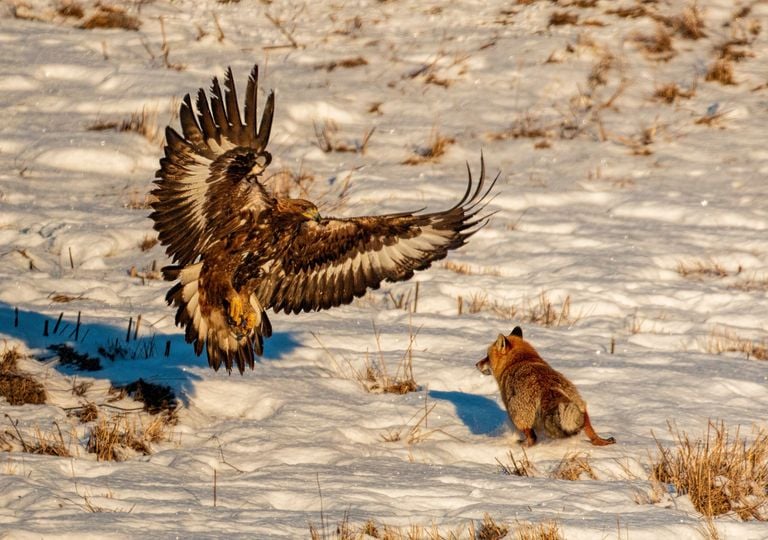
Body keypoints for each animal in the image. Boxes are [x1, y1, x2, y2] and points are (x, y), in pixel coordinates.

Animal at [476, 326, 615, 447]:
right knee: (591, 433)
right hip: (581, 409)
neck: (519, 360)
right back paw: (602, 441)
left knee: (532, 439)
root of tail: (550, 388)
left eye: (487, 357)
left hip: (519, 417)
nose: (476, 364)